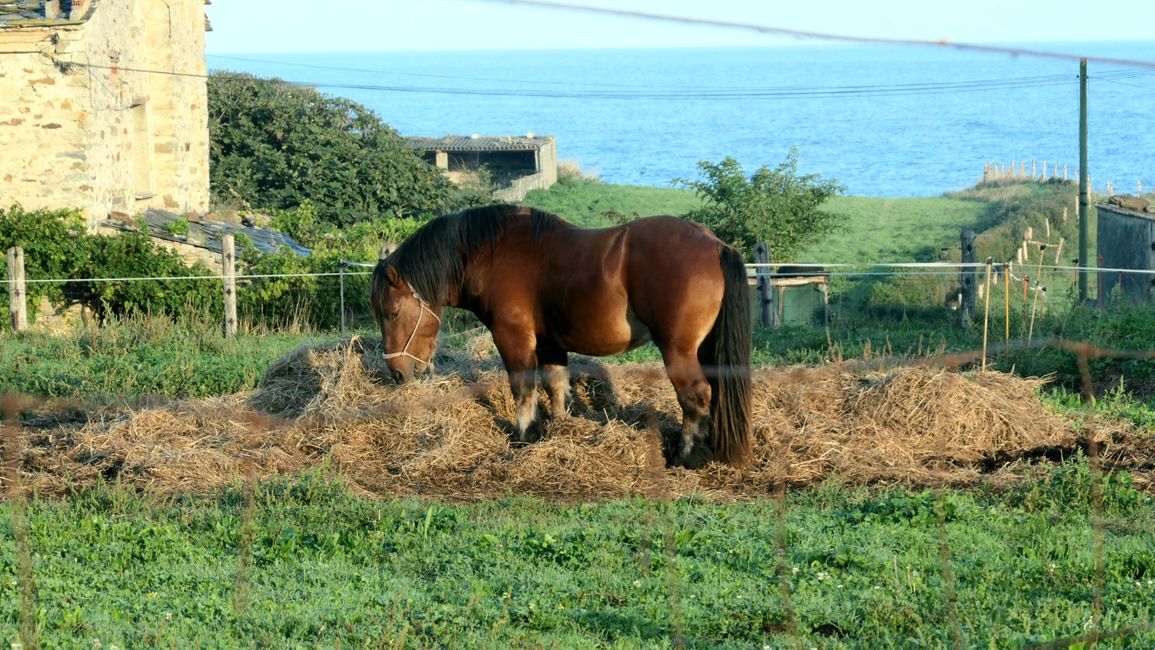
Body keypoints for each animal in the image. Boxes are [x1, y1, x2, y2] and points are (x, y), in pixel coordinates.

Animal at [364, 204, 753, 468]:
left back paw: (687, 455)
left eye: (392, 313)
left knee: (696, 395)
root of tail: (715, 244)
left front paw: (524, 435)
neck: (492, 253)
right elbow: (555, 385)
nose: (396, 372)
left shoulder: (514, 338)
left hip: (678, 351)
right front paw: (560, 428)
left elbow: (523, 387)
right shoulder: (550, 344)